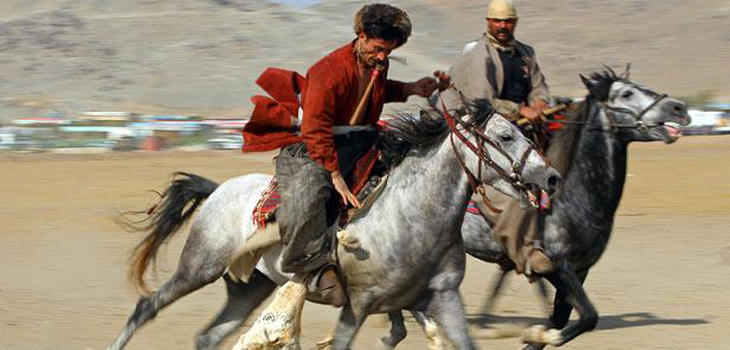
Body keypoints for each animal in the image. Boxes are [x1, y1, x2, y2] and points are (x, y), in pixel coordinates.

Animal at [104, 99, 556, 350]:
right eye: (505, 136)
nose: (550, 176)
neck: (412, 217)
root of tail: (218, 190)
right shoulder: (357, 306)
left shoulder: (441, 298)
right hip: (199, 266)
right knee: (146, 307)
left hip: (250, 285)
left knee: (209, 337)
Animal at [382, 68, 688, 350]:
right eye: (626, 93)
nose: (679, 108)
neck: (574, 196)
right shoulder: (556, 265)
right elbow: (587, 316)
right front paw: (534, 333)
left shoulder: (580, 270)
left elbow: (564, 318)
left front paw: (534, 336)